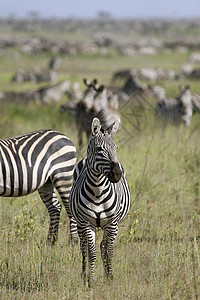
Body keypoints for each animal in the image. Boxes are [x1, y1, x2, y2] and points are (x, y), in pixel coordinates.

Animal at [69, 117, 130, 286]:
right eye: (99, 149)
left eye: (115, 148)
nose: (117, 174)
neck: (97, 191)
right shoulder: (86, 223)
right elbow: (92, 252)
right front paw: (91, 280)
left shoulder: (112, 223)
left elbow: (108, 250)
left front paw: (110, 277)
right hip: (79, 223)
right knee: (83, 247)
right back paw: (84, 274)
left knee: (104, 246)